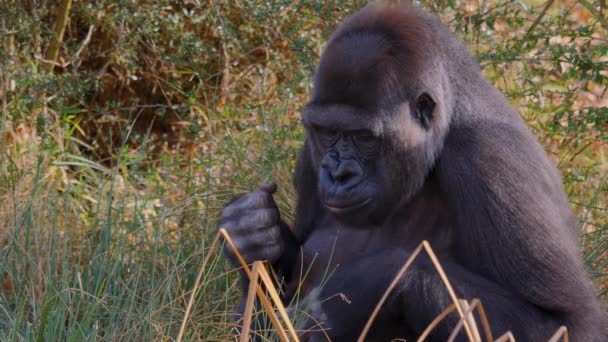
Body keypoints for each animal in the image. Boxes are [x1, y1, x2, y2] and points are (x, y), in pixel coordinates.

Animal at [221, 2, 604, 340]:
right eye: (328, 132)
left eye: (363, 137)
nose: (338, 174)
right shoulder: (309, 156)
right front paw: (250, 231)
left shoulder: (491, 158)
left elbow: (565, 324)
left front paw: (366, 286)